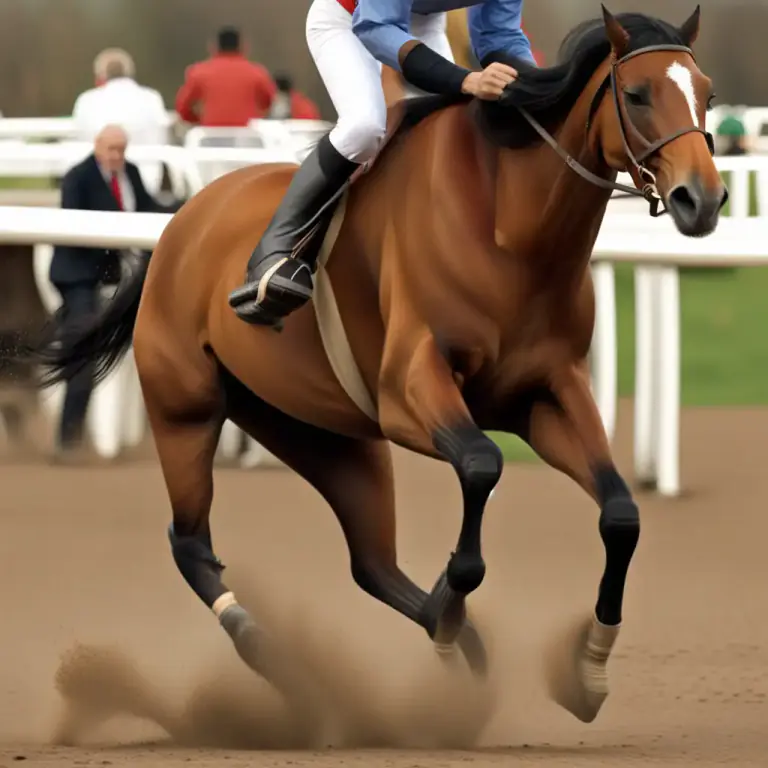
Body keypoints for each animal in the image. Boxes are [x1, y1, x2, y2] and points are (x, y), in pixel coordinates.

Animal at [27, 5, 725, 737]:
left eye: (706, 93)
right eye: (639, 94)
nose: (703, 200)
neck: (509, 228)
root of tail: (178, 225)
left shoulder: (549, 392)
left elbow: (621, 514)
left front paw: (585, 668)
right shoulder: (409, 389)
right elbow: (482, 466)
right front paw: (455, 602)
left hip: (324, 437)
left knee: (371, 563)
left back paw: (448, 645)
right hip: (184, 408)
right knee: (190, 543)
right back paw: (277, 657)